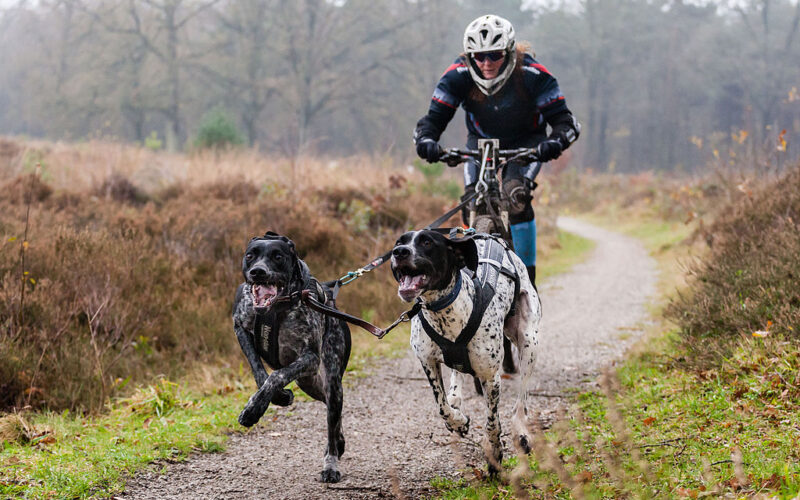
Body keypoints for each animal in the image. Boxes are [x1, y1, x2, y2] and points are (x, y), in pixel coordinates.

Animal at [234, 232, 354, 482]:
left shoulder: (310, 358)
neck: (274, 309)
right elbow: (260, 373)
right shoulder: (240, 327)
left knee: (332, 420)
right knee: (332, 412)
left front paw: (253, 411)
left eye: (278, 256)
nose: (257, 272)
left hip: (331, 380)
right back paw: (339, 442)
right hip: (309, 383)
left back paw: (331, 463)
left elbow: (276, 375)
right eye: (250, 255)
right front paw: (274, 398)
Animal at [390, 230, 540, 476]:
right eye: (399, 242)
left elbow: (492, 422)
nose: (399, 252)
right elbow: (442, 406)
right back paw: (455, 396)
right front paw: (458, 421)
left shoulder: (491, 377)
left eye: (427, 242)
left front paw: (494, 453)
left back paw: (520, 430)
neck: (444, 312)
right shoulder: (427, 362)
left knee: (522, 395)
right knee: (455, 375)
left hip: (529, 341)